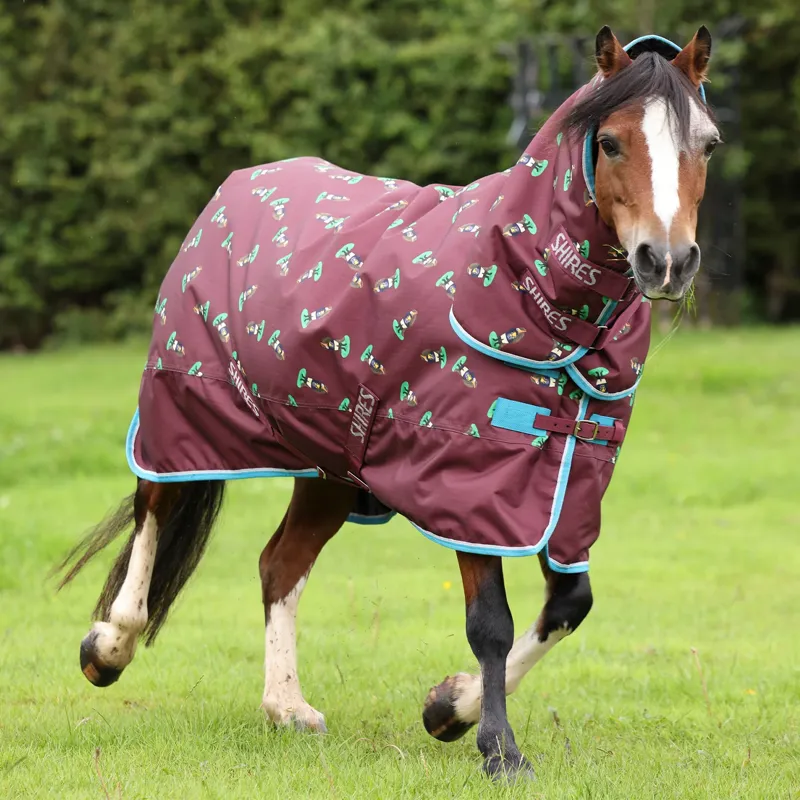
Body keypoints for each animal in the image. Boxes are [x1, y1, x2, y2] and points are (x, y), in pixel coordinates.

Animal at [57, 26, 719, 781]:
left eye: (708, 143)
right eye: (609, 141)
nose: (666, 261)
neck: (527, 292)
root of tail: (233, 190)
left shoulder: (563, 485)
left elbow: (569, 604)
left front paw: (448, 708)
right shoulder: (468, 485)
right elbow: (492, 623)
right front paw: (498, 749)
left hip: (330, 467)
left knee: (278, 565)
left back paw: (287, 707)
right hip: (188, 414)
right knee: (155, 509)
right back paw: (108, 646)